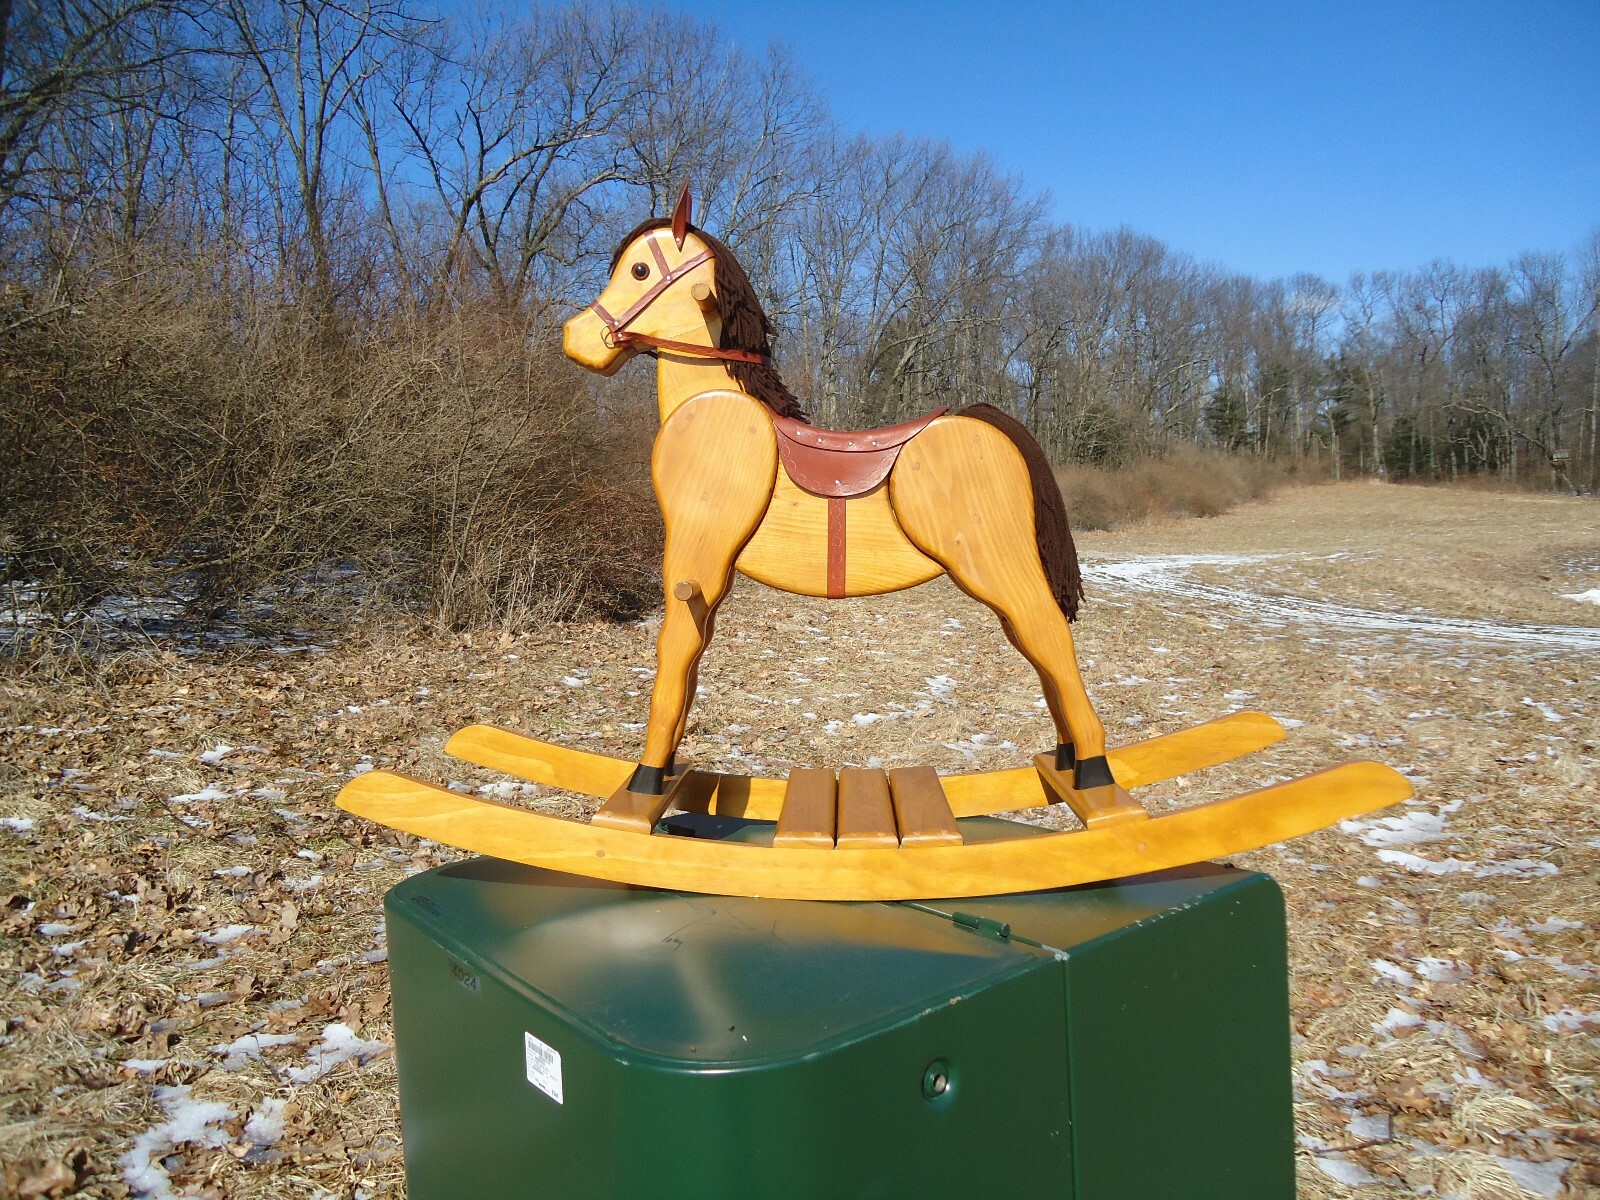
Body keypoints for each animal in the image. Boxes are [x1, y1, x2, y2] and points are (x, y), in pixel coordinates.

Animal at [561, 185, 1115, 809]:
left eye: (638, 270)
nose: (576, 339)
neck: (708, 402)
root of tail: (991, 421)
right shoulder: (709, 578)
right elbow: (693, 660)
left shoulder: (693, 554)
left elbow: (672, 653)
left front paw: (647, 778)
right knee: (1038, 646)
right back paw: (1067, 759)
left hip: (995, 562)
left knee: (1051, 637)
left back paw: (1095, 769)